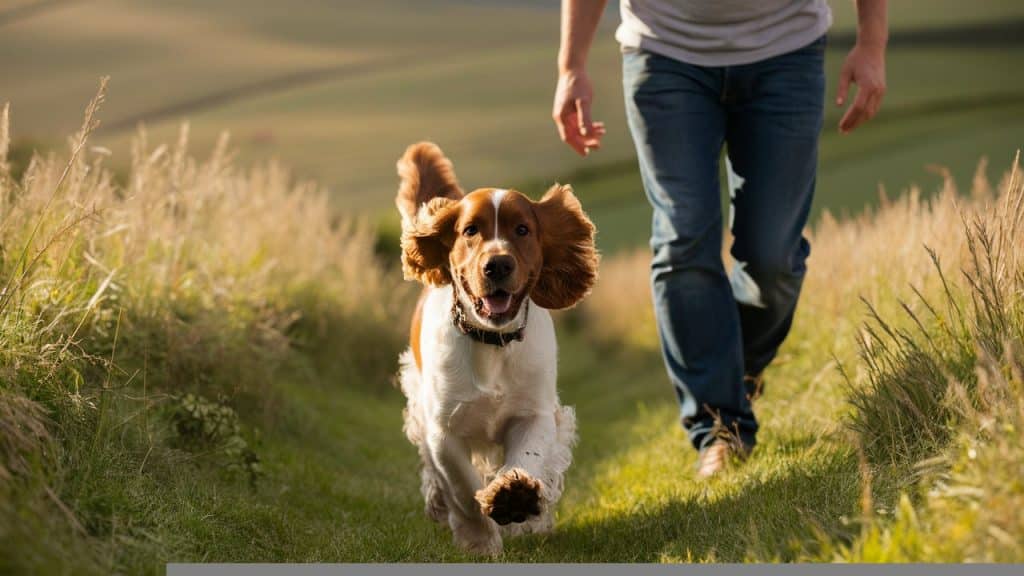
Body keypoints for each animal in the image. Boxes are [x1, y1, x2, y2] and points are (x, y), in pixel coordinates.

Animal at [393, 141, 598, 553]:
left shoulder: (533, 413)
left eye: (523, 229)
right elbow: (462, 488)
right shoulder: (443, 431)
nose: (498, 265)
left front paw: (514, 496)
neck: (491, 342)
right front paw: (479, 541)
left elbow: (528, 456)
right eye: (470, 230)